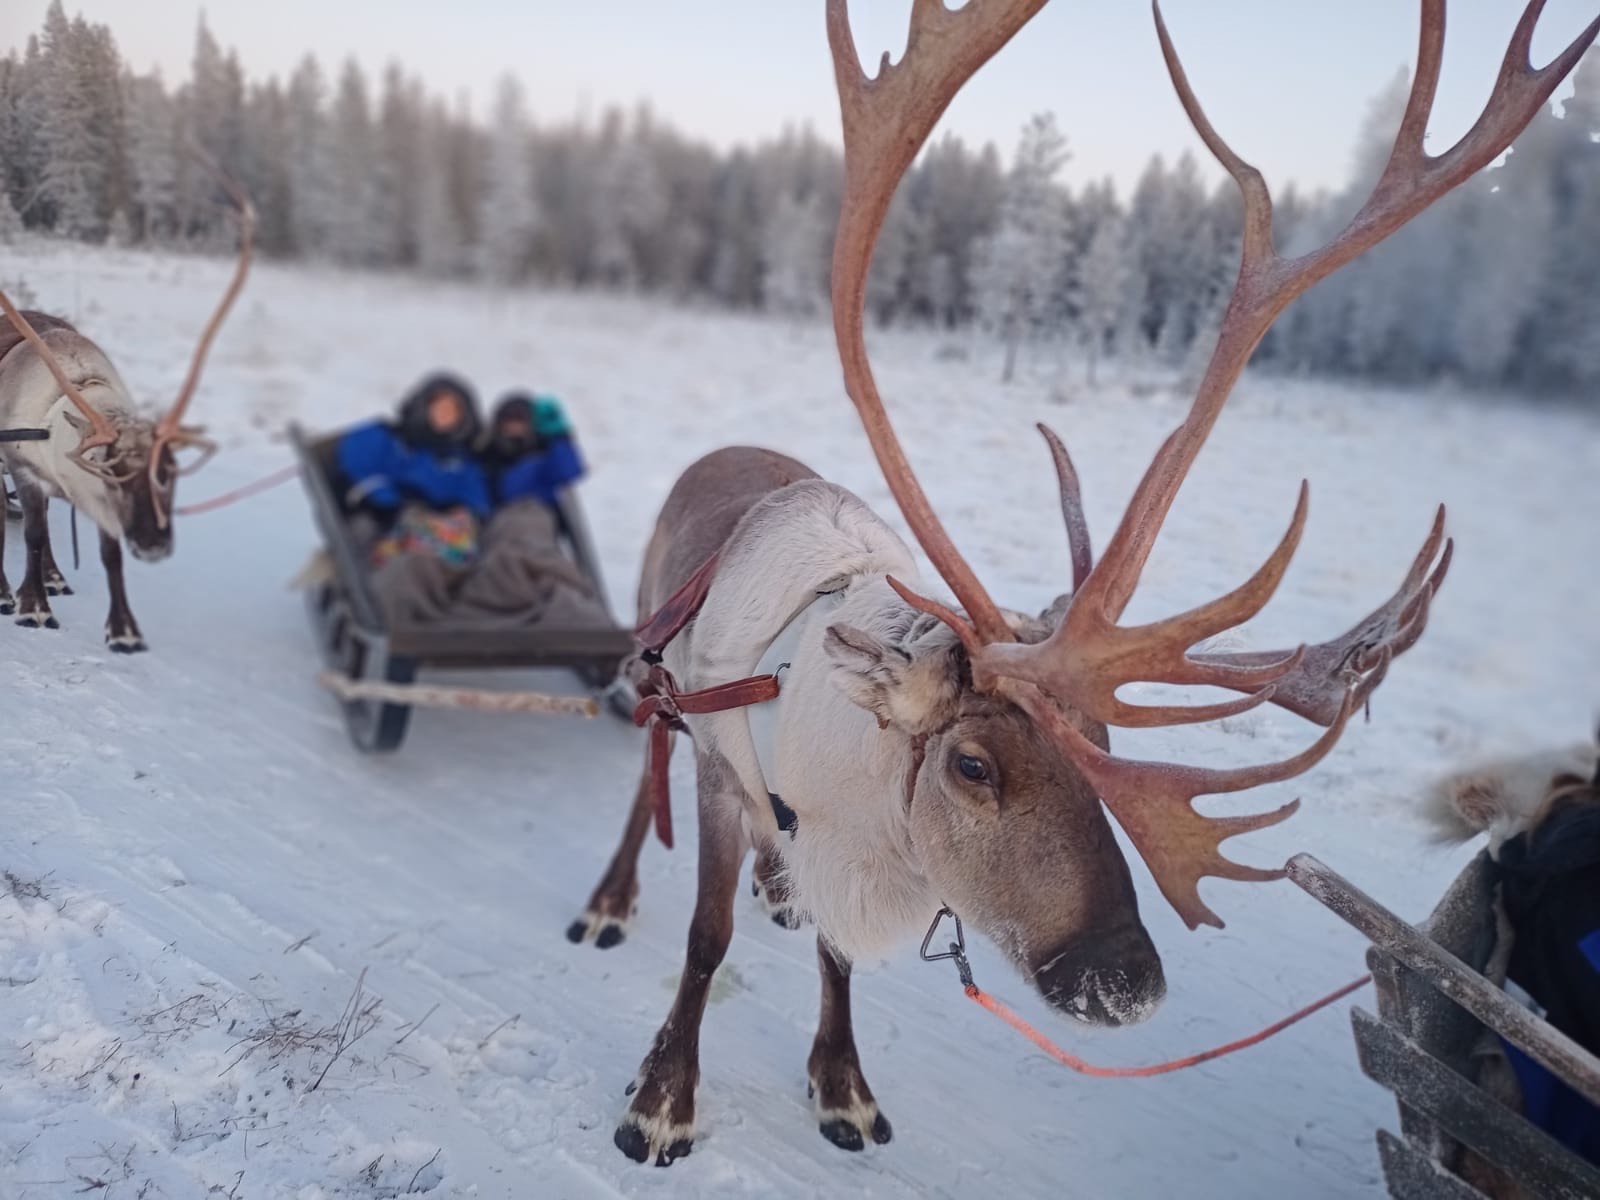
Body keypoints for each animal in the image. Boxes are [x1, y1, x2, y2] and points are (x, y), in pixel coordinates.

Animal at [0, 167, 254, 651]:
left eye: (170, 473)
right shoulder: (23, 468)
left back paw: (56, 576)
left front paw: (123, 630)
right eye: (113, 470)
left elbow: (109, 553)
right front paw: (31, 605)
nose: (154, 544)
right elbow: (33, 533)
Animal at [569, 0, 1597, 1167]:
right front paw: (663, 1097)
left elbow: (835, 958)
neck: (839, 786)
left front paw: (842, 1084)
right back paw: (612, 900)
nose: (1125, 985)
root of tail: (725, 450)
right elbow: (705, 937)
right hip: (658, 667)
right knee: (645, 764)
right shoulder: (720, 774)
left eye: (1102, 750)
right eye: (971, 764)